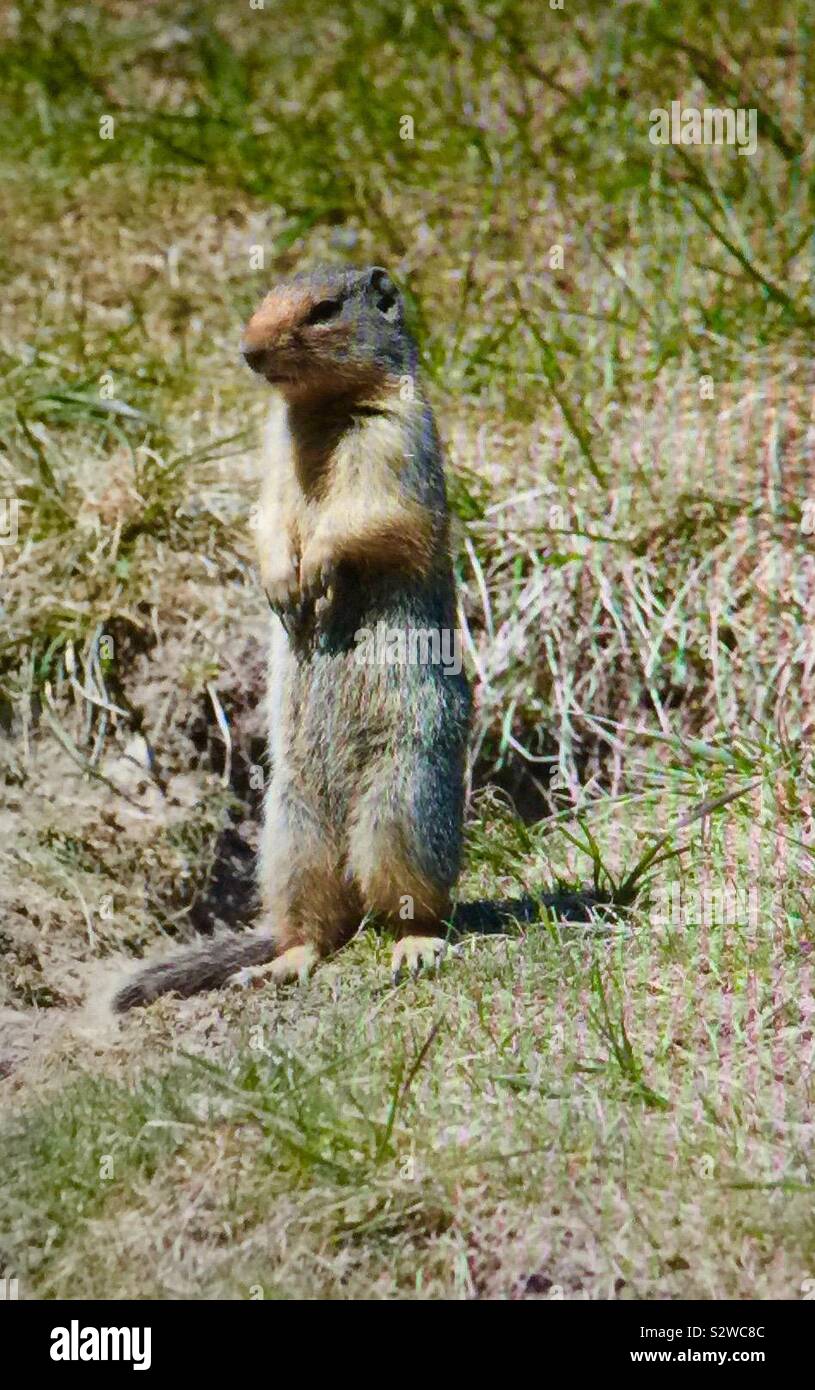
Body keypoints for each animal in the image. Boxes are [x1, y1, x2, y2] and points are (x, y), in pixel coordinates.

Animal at [113, 265, 612, 1013]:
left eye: (323, 309)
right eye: (263, 299)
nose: (247, 350)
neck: (323, 410)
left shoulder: (394, 441)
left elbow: (371, 516)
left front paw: (316, 569)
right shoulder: (272, 455)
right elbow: (267, 518)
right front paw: (280, 585)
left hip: (401, 800)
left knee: (412, 905)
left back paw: (413, 947)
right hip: (288, 832)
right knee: (319, 926)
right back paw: (281, 962)